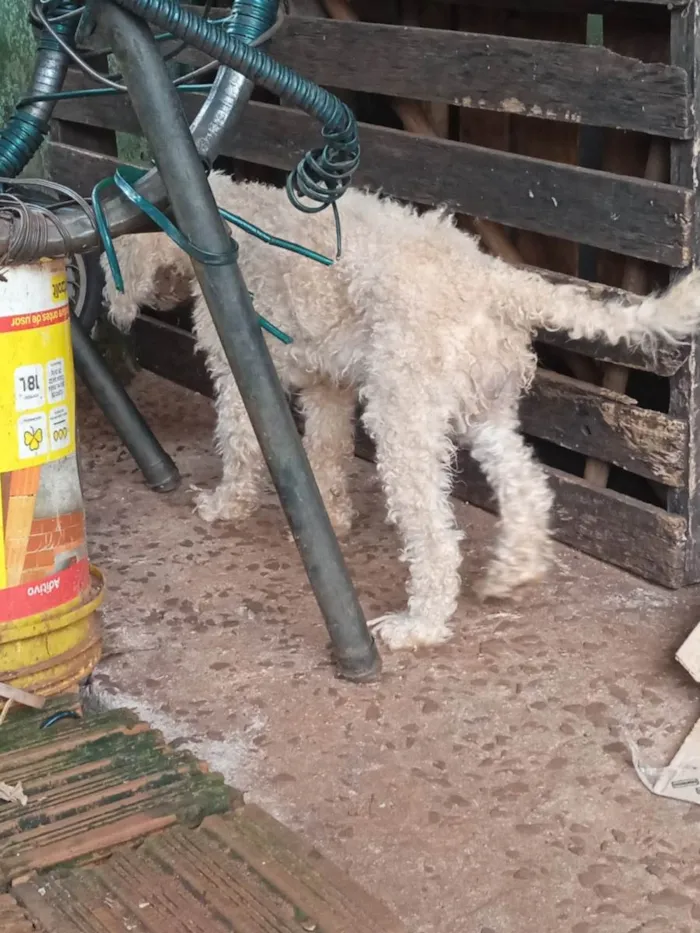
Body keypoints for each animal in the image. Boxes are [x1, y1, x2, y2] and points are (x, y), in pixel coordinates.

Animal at [104, 169, 700, 648]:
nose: (112, 312)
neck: (222, 217)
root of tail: (499, 282)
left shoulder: (241, 370)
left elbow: (239, 442)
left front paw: (225, 505)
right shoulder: (327, 385)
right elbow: (326, 451)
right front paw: (331, 517)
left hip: (404, 421)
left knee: (436, 541)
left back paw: (420, 627)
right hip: (484, 411)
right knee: (527, 485)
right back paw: (513, 572)